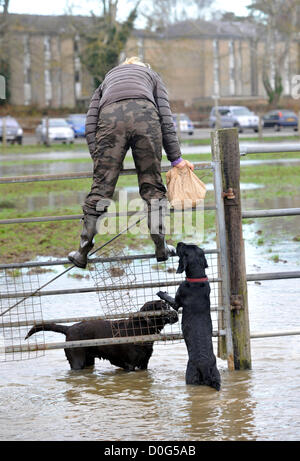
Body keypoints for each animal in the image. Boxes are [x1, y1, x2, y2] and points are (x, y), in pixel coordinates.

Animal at [25, 300, 178, 372]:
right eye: (161, 308)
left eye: (167, 306)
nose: (176, 313)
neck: (141, 329)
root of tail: (69, 328)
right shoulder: (130, 365)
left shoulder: (144, 364)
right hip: (77, 361)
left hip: (89, 360)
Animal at [157, 243, 220, 390]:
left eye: (184, 248)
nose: (179, 243)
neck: (197, 278)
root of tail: (204, 367)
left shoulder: (177, 302)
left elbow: (169, 299)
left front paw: (161, 293)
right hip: (216, 374)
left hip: (190, 376)